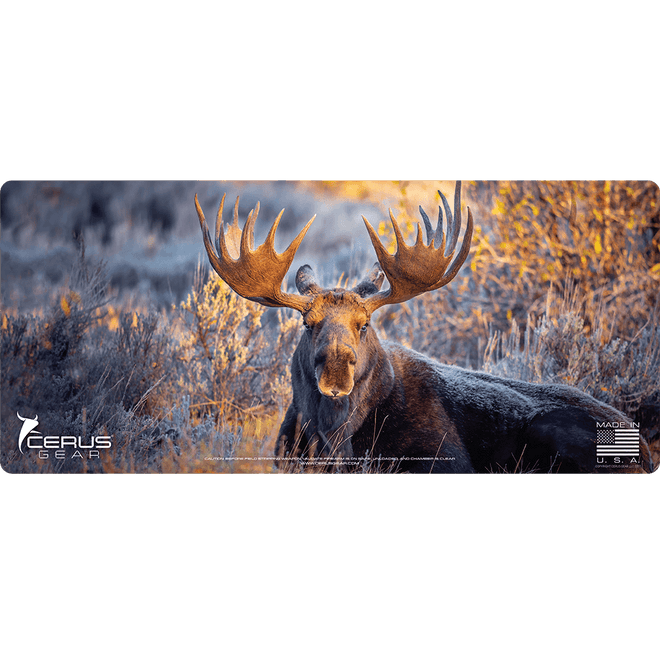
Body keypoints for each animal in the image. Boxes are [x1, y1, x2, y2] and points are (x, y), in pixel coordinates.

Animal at [195, 181, 653, 474]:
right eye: (308, 324)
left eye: (365, 324)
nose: (337, 374)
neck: (337, 436)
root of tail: (647, 454)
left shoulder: (447, 459)